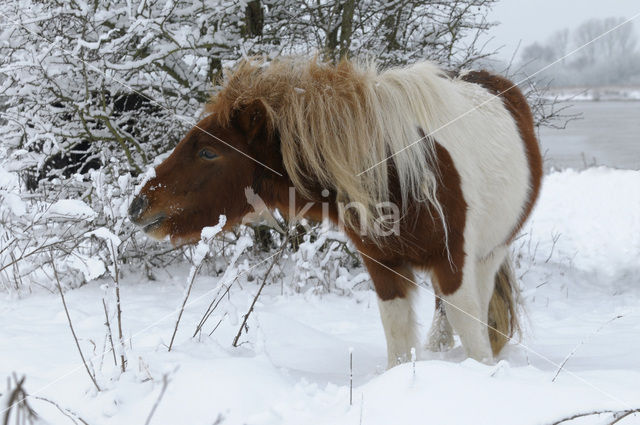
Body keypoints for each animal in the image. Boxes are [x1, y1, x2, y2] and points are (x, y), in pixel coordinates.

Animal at [132, 56, 544, 366]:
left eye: (208, 152)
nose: (139, 205)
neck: (394, 170)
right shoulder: (383, 266)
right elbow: (398, 338)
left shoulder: (454, 262)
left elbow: (472, 334)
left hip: (490, 254)